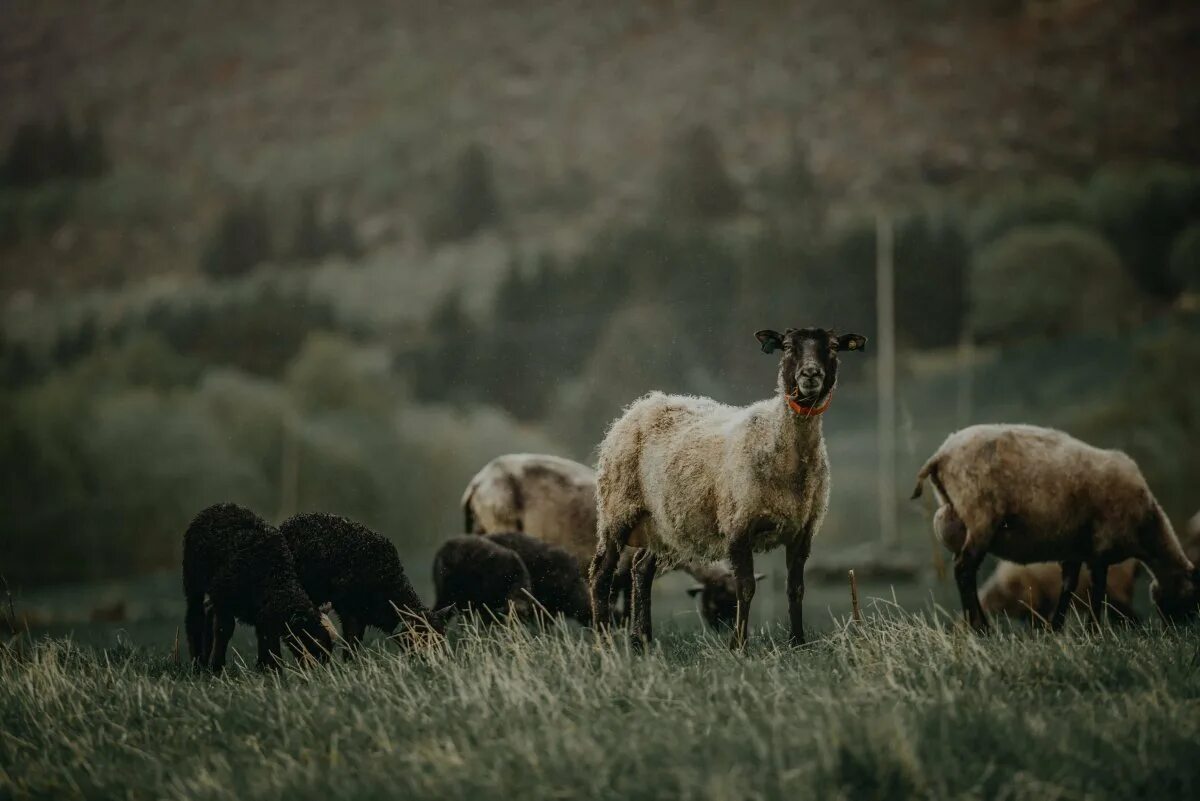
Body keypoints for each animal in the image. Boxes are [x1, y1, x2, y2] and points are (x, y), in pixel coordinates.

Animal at [180, 503, 328, 671]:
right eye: (311, 640)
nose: (319, 672)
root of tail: (217, 507)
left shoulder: (263, 611)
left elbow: (265, 635)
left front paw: (268, 668)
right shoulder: (224, 599)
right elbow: (224, 629)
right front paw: (218, 667)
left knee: (208, 611)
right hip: (193, 579)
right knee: (195, 617)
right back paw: (198, 662)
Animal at [588, 328, 864, 647]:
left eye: (833, 347)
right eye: (786, 346)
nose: (810, 374)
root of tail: (640, 405)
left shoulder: (803, 532)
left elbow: (795, 589)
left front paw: (798, 642)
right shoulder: (738, 525)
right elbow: (746, 588)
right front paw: (738, 645)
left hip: (660, 523)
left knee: (641, 568)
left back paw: (641, 639)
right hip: (616, 509)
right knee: (601, 574)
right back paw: (603, 641)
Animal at [912, 424, 1195, 633]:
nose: (1182, 630)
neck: (1148, 526)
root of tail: (940, 455)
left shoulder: (1075, 549)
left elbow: (1068, 585)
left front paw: (1055, 629)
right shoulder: (1100, 548)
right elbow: (1097, 590)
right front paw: (1094, 631)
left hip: (962, 517)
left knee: (966, 572)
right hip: (981, 515)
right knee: (964, 569)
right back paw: (982, 629)